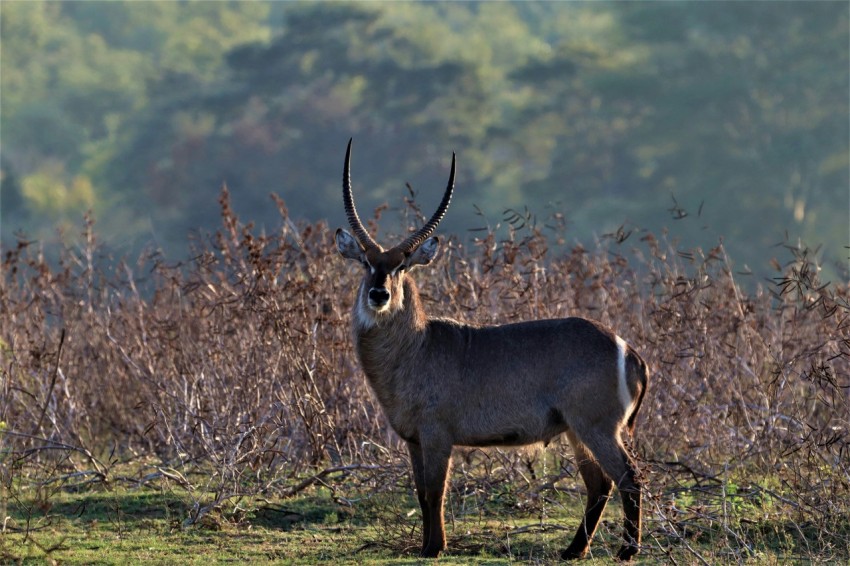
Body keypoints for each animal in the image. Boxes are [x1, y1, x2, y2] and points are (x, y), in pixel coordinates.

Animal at [334, 139, 649, 561]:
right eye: (367, 263)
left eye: (403, 266)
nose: (379, 294)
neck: (415, 347)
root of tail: (627, 349)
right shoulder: (413, 439)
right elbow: (420, 492)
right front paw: (425, 545)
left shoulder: (437, 433)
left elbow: (435, 491)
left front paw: (435, 547)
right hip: (577, 430)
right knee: (600, 483)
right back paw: (573, 551)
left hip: (598, 426)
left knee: (629, 477)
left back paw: (627, 551)